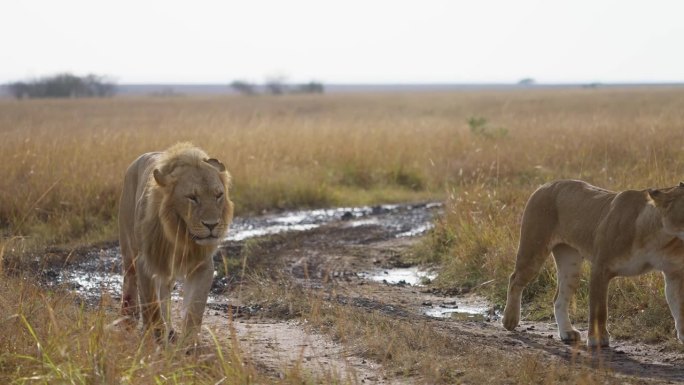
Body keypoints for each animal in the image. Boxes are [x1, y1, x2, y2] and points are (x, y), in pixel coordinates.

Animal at [119, 142, 234, 340]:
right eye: (192, 197)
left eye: (218, 195)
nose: (212, 225)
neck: (180, 235)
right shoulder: (145, 262)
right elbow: (151, 304)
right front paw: (156, 334)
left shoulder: (202, 265)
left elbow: (195, 307)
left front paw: (189, 340)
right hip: (129, 252)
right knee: (130, 281)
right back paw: (129, 318)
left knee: (164, 291)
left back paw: (170, 329)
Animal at [500, 178, 684, 346]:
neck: (661, 237)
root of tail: (546, 184)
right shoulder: (600, 267)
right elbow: (599, 309)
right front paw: (597, 339)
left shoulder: (674, 273)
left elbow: (680, 308)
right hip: (534, 249)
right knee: (515, 279)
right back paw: (510, 319)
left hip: (570, 264)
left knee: (559, 298)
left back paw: (567, 332)